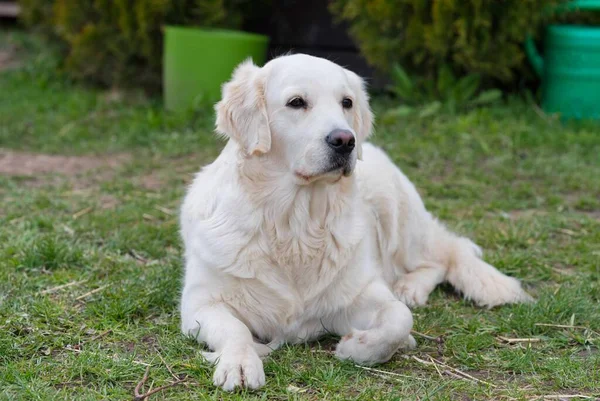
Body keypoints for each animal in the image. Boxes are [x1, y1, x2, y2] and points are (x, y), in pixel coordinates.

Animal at [177, 53, 528, 388]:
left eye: (346, 102)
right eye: (296, 102)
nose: (345, 140)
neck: (295, 225)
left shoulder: (355, 295)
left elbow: (399, 318)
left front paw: (358, 347)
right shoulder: (200, 304)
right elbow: (235, 328)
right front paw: (240, 362)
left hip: (398, 216)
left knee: (445, 255)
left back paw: (410, 287)